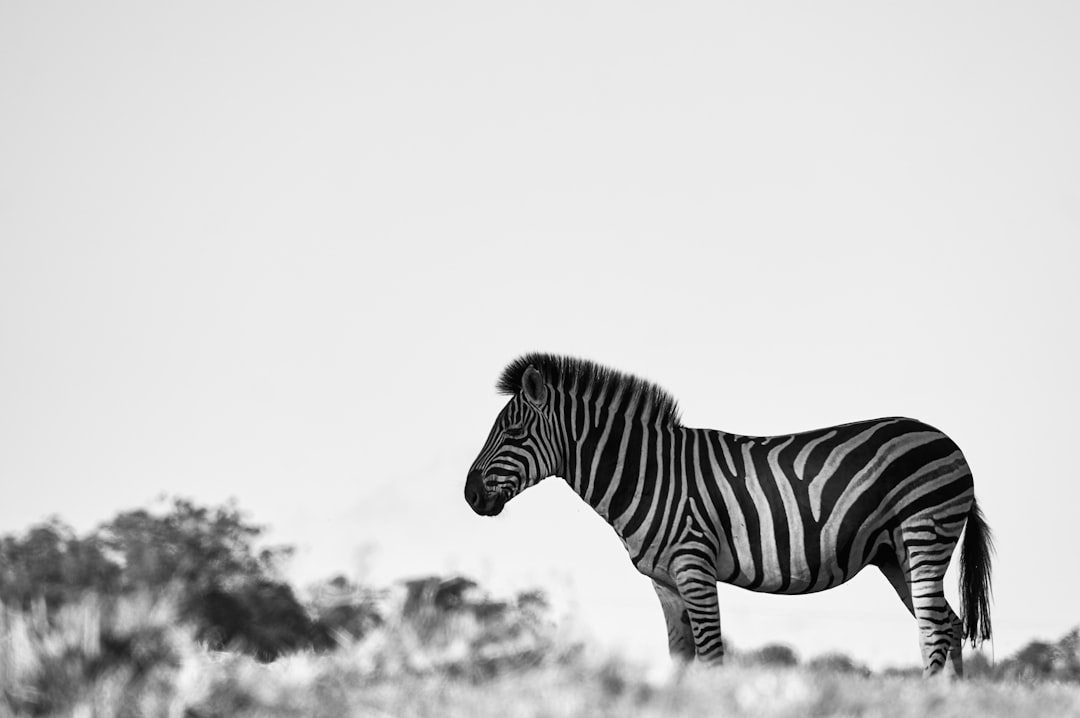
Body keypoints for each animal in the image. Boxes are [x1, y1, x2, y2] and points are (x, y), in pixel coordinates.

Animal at [460, 351, 989, 678]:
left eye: (513, 434)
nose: (469, 495)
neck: (648, 472)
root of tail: (948, 443)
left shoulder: (694, 566)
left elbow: (712, 657)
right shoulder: (665, 582)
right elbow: (680, 659)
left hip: (924, 533)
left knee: (934, 629)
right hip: (895, 555)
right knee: (948, 624)